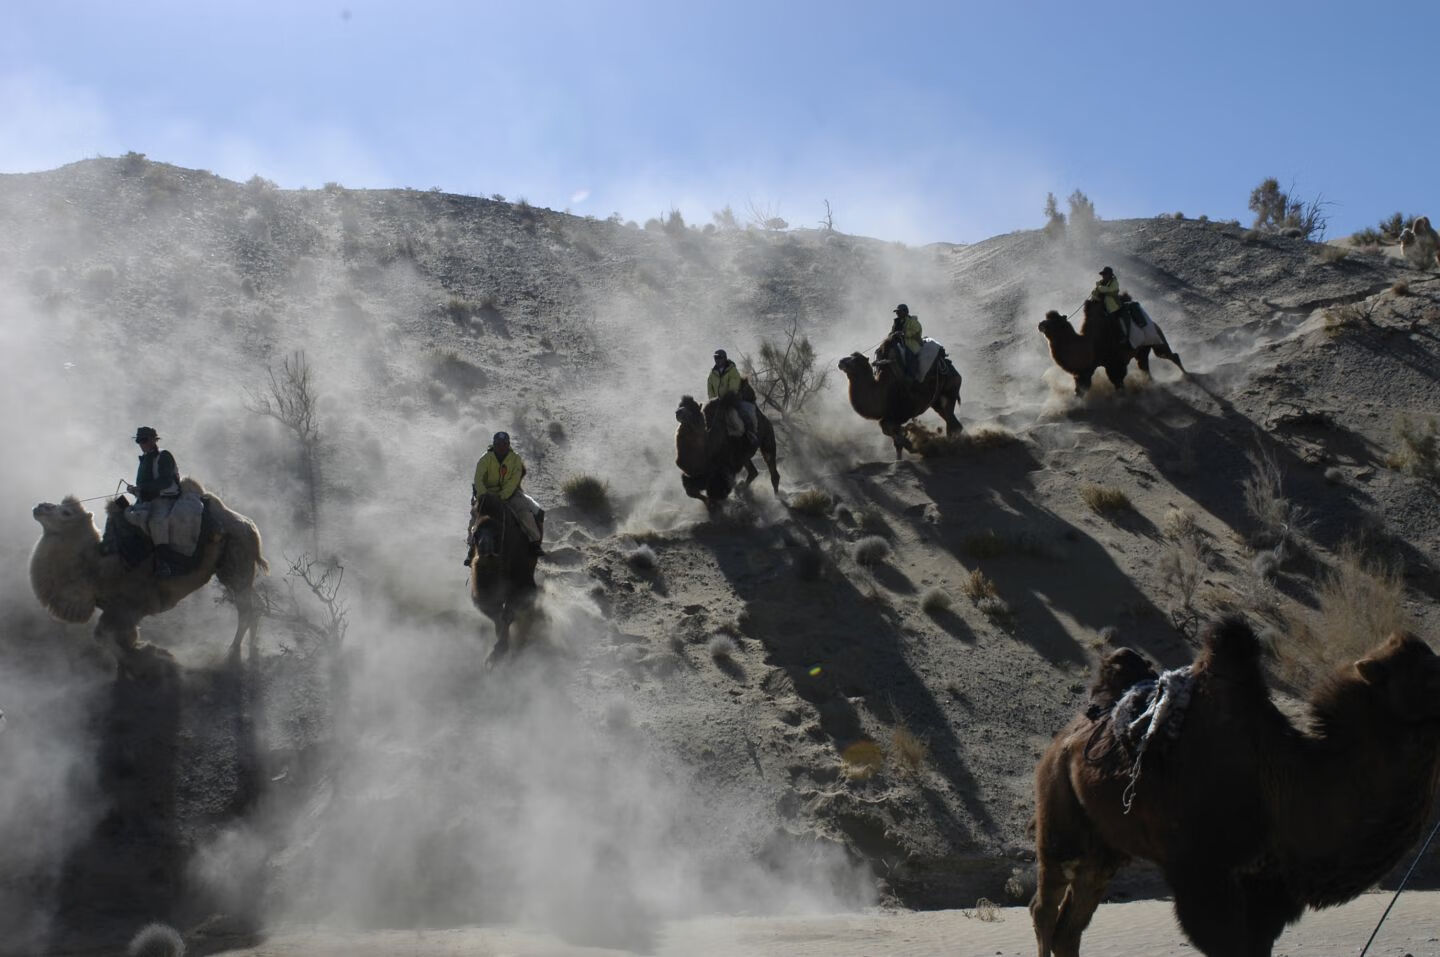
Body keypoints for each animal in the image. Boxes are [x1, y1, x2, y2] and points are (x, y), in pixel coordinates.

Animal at [28, 480, 270, 661]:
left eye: (66, 513)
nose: (39, 506)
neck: (96, 566)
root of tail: (250, 526)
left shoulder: (127, 605)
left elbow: (106, 637)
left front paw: (142, 658)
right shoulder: (119, 608)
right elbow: (117, 637)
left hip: (236, 566)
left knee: (246, 608)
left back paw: (233, 651)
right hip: (236, 571)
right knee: (256, 604)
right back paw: (251, 648)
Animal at [466, 492, 541, 664]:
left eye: (497, 534)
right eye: (475, 533)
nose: (485, 548)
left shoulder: (520, 586)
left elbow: (507, 616)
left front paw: (499, 652)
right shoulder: (484, 597)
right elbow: (497, 616)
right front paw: (498, 651)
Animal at [1031, 615, 1440, 949]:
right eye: (1426, 674)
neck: (1290, 783)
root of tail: (1063, 740)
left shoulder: (1267, 889)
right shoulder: (1202, 874)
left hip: (1104, 848)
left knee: (1071, 923)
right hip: (1059, 818)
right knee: (1044, 908)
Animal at [1042, 302, 1186, 400]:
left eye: (1053, 323)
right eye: (1047, 319)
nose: (1040, 325)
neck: (1090, 345)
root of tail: (1153, 322)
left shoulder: (1115, 364)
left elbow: (1117, 381)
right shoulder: (1086, 371)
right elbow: (1081, 388)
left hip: (1157, 341)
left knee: (1169, 355)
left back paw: (1185, 375)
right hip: (1142, 350)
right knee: (1144, 365)